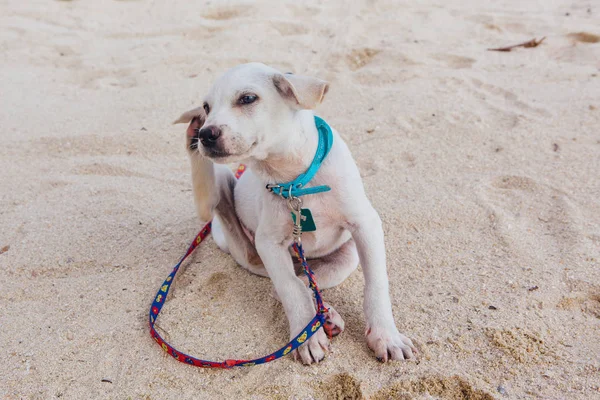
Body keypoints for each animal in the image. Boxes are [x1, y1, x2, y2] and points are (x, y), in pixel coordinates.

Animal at [176, 62, 414, 366]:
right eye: (207, 106)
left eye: (247, 98)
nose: (206, 133)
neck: (295, 181)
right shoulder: (268, 242)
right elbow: (290, 290)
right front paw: (306, 336)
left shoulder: (366, 225)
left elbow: (376, 285)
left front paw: (386, 336)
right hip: (233, 218)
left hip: (346, 256)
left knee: (306, 279)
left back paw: (327, 314)